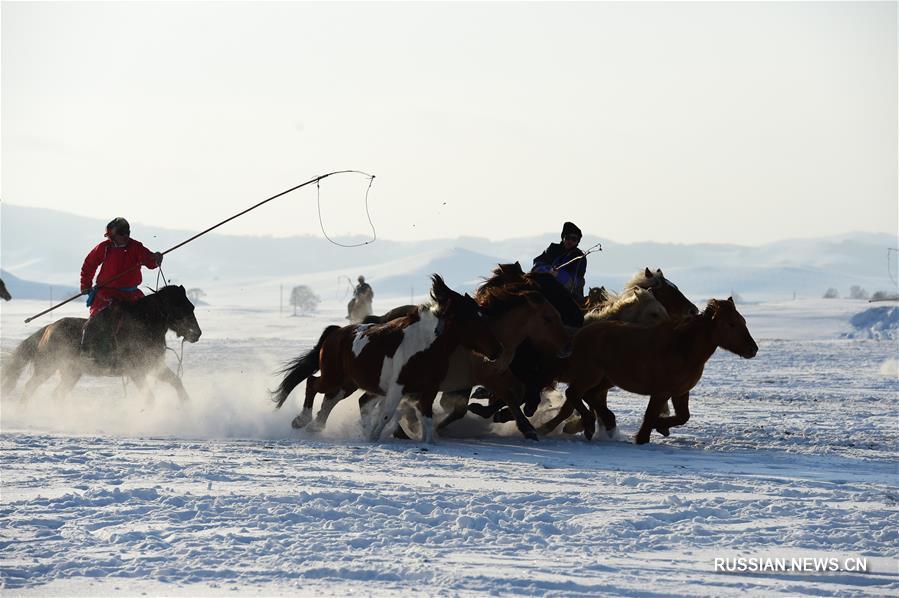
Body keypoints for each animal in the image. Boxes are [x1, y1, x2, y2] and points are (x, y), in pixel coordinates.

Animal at [1, 286, 202, 404]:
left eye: (191, 306)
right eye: (181, 307)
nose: (197, 333)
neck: (144, 325)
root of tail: (48, 329)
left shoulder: (154, 366)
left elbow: (176, 382)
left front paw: (187, 407)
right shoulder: (136, 372)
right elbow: (149, 398)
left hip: (71, 373)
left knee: (57, 394)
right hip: (46, 367)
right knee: (30, 387)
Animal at [270, 276, 502, 440]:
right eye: (473, 320)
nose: (497, 350)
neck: (425, 346)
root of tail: (335, 332)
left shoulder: (428, 390)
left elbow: (426, 421)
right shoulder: (397, 388)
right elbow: (386, 414)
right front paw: (373, 436)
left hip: (349, 383)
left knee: (331, 399)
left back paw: (316, 426)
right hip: (333, 376)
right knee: (313, 384)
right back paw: (302, 421)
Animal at [548, 300, 760, 446]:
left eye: (743, 321)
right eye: (731, 324)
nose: (753, 349)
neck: (682, 348)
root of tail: (578, 336)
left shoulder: (680, 392)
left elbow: (683, 416)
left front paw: (661, 425)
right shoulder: (660, 393)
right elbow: (650, 416)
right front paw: (644, 436)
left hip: (605, 379)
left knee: (589, 396)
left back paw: (605, 422)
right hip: (589, 375)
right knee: (573, 394)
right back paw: (586, 426)